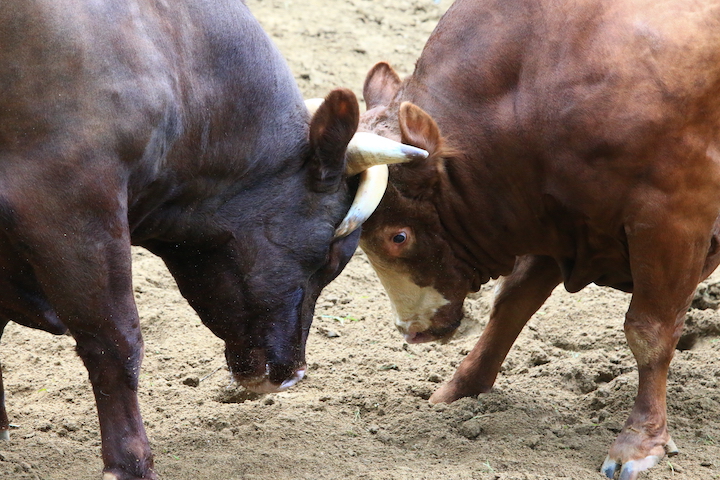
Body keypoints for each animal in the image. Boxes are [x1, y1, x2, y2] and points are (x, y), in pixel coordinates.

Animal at [360, 1, 720, 478]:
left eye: (398, 236)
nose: (410, 331)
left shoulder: (672, 221)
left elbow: (649, 332)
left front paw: (639, 441)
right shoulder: (557, 217)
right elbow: (511, 304)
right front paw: (457, 391)